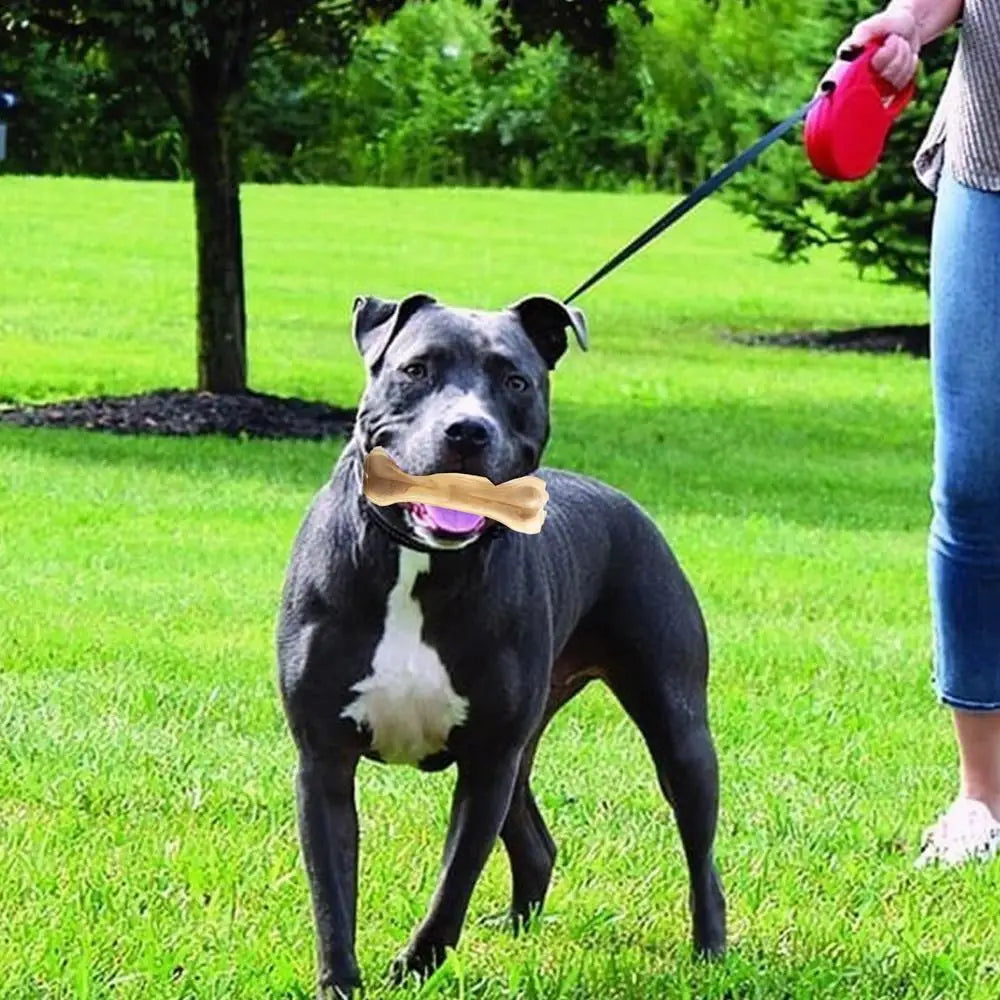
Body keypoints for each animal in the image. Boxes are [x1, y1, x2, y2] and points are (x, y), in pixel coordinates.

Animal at [276, 292, 728, 996]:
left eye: (515, 381)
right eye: (415, 369)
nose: (467, 430)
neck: (418, 565)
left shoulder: (487, 761)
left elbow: (453, 885)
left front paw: (414, 967)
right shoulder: (324, 759)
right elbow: (332, 892)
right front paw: (342, 981)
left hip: (677, 732)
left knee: (700, 852)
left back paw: (709, 954)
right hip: (527, 746)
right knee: (538, 844)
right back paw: (519, 930)